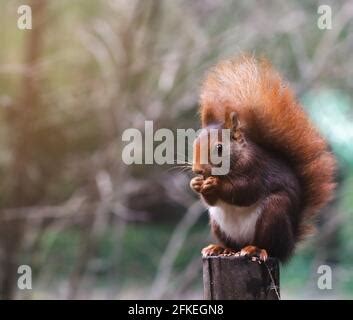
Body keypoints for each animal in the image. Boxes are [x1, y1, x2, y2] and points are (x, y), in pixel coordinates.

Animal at [190, 55, 336, 262]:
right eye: (194, 143)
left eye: (219, 148)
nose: (198, 170)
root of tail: (289, 244)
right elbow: (211, 201)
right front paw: (196, 184)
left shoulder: (256, 169)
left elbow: (244, 191)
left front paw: (215, 184)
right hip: (218, 224)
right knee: (232, 244)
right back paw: (220, 249)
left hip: (274, 212)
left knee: (269, 246)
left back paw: (255, 249)